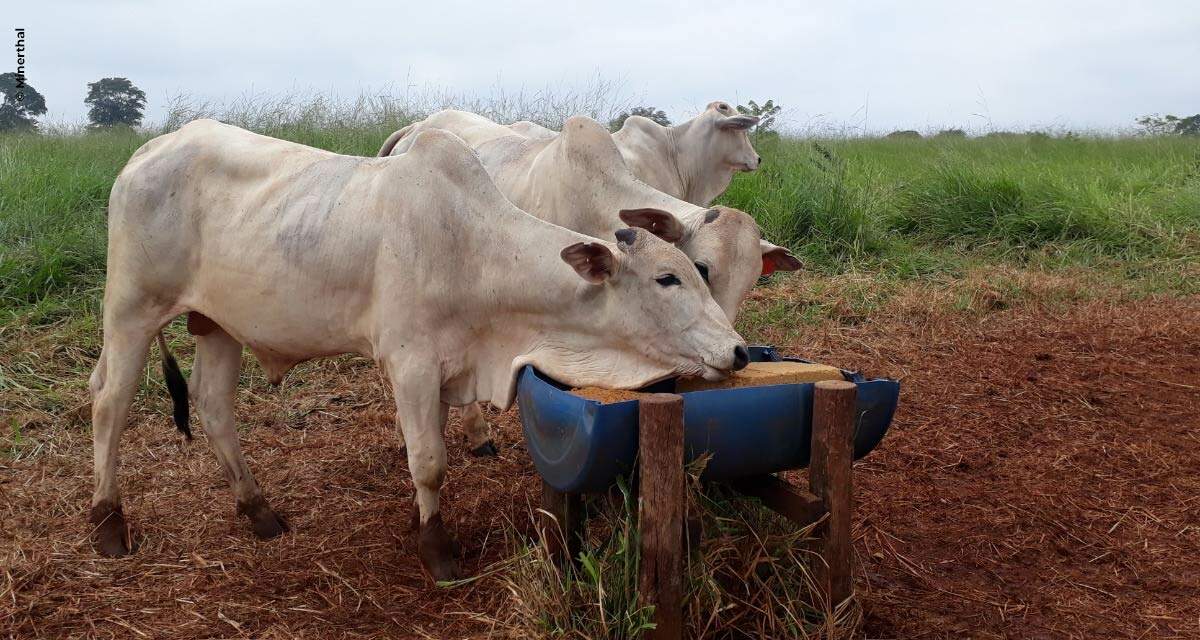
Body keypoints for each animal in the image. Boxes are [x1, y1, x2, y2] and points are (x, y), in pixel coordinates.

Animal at [88, 117, 744, 581]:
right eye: (670, 278)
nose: (738, 351)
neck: (474, 251)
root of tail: (147, 151)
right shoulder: (410, 364)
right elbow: (429, 461)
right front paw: (436, 549)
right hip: (131, 309)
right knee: (109, 403)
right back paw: (108, 523)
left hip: (218, 324)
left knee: (213, 406)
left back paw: (258, 511)